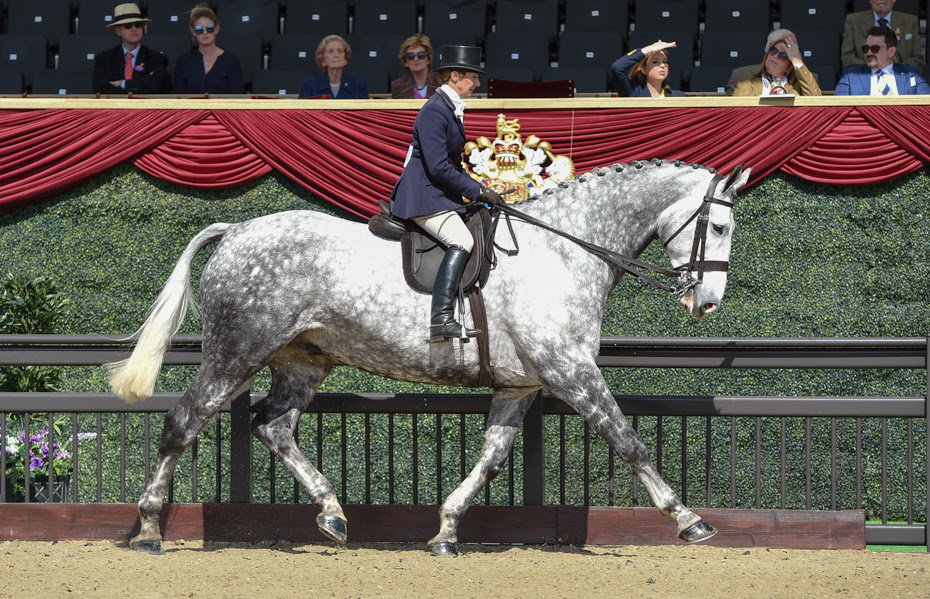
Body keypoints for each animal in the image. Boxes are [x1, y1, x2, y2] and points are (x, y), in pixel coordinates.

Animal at [108, 158, 751, 556]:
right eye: (719, 225)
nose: (708, 303)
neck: (566, 250)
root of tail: (238, 229)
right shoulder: (570, 371)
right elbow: (627, 439)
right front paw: (689, 519)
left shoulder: (520, 386)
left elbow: (490, 460)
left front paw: (445, 530)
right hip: (235, 352)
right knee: (184, 422)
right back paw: (149, 529)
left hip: (303, 358)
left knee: (274, 425)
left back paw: (333, 513)